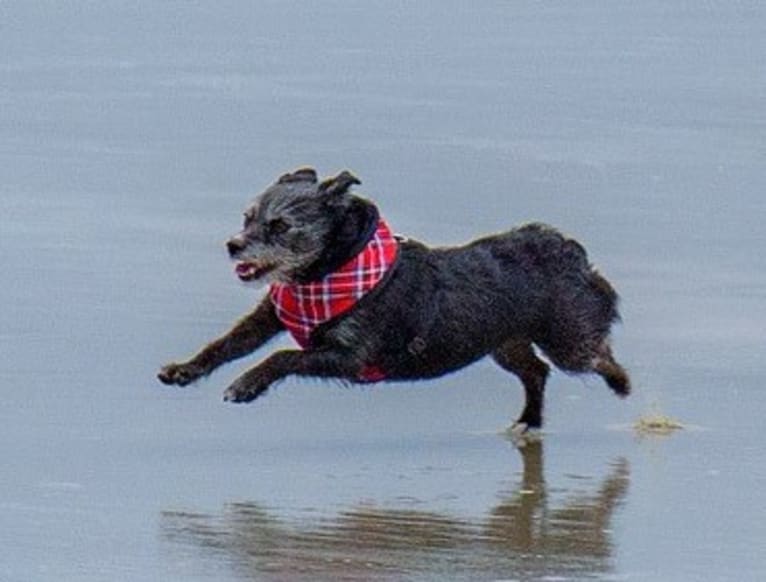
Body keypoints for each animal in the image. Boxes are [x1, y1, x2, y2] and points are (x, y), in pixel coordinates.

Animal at [159, 167, 632, 432]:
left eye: (280, 226)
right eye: (247, 217)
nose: (233, 245)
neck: (326, 272)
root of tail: (570, 252)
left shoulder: (351, 356)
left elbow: (282, 358)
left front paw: (246, 385)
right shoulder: (269, 317)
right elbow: (225, 345)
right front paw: (184, 370)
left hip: (568, 339)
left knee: (594, 355)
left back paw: (620, 383)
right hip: (504, 343)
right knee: (535, 371)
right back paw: (528, 421)